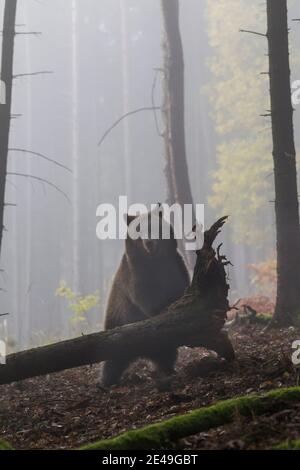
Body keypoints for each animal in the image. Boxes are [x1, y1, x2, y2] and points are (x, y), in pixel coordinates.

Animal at [101, 207, 190, 388]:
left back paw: (168, 370)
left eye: (154, 226)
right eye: (138, 230)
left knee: (167, 355)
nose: (149, 242)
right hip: (115, 325)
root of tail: (141, 352)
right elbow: (146, 298)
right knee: (112, 362)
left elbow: (181, 287)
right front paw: (163, 308)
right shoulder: (135, 274)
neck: (155, 261)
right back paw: (106, 381)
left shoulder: (176, 265)